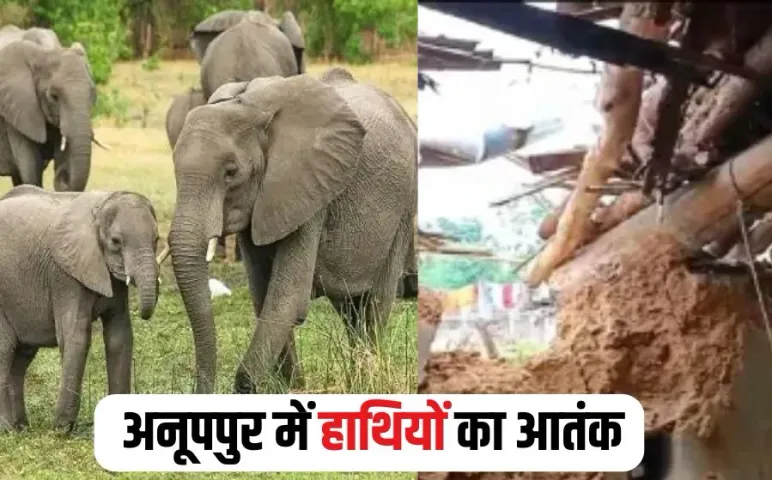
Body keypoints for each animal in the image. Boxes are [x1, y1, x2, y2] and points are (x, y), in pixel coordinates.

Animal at [0, 40, 100, 191]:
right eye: (54, 96)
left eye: (93, 94)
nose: (62, 175)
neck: (42, 54)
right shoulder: (16, 116)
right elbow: (30, 172)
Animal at [0, 185, 160, 432]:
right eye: (116, 241)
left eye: (156, 239)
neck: (101, 206)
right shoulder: (65, 276)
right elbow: (76, 336)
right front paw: (61, 429)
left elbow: (119, 336)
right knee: (5, 351)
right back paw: (9, 430)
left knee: (21, 357)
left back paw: (21, 427)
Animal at [165, 68, 417, 394]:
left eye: (231, 172)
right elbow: (263, 295)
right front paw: (292, 388)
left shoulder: (309, 190)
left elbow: (287, 298)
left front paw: (252, 387)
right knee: (350, 308)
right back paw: (358, 381)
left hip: (404, 205)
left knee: (376, 302)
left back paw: (368, 383)